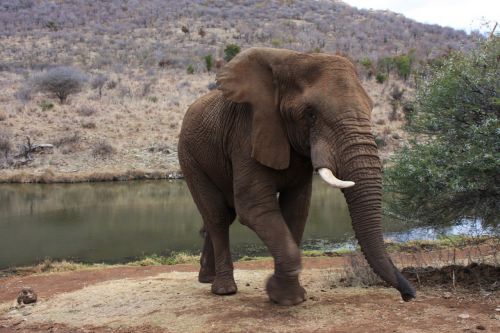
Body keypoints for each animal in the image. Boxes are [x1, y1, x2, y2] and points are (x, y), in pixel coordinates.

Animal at [178, 47, 416, 306]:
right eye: (310, 114)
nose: (408, 296)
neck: (291, 59)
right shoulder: (246, 131)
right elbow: (255, 208)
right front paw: (282, 295)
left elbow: (296, 209)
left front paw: (290, 297)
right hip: (189, 157)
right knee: (218, 216)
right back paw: (224, 290)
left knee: (224, 215)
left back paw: (207, 279)